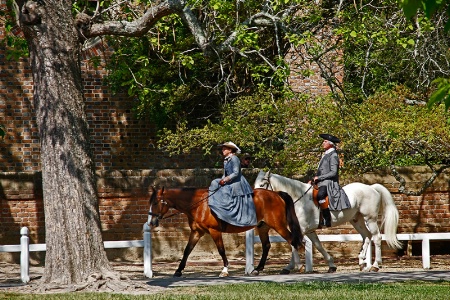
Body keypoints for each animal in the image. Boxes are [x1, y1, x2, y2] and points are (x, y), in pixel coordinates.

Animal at [149, 186, 304, 278]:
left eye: (156, 202)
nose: (151, 222)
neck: (199, 204)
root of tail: (276, 193)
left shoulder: (214, 231)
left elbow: (221, 250)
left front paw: (224, 270)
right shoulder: (196, 232)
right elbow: (187, 250)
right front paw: (178, 270)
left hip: (279, 226)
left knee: (294, 241)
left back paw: (299, 267)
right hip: (263, 227)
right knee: (267, 246)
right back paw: (258, 269)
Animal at [255, 170, 402, 274]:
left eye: (262, 185)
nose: (256, 198)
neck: (299, 198)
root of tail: (371, 187)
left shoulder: (302, 229)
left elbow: (294, 244)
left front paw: (293, 266)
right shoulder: (309, 230)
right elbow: (318, 245)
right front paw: (331, 265)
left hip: (369, 218)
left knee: (376, 237)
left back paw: (376, 265)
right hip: (357, 220)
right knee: (367, 236)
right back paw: (362, 263)